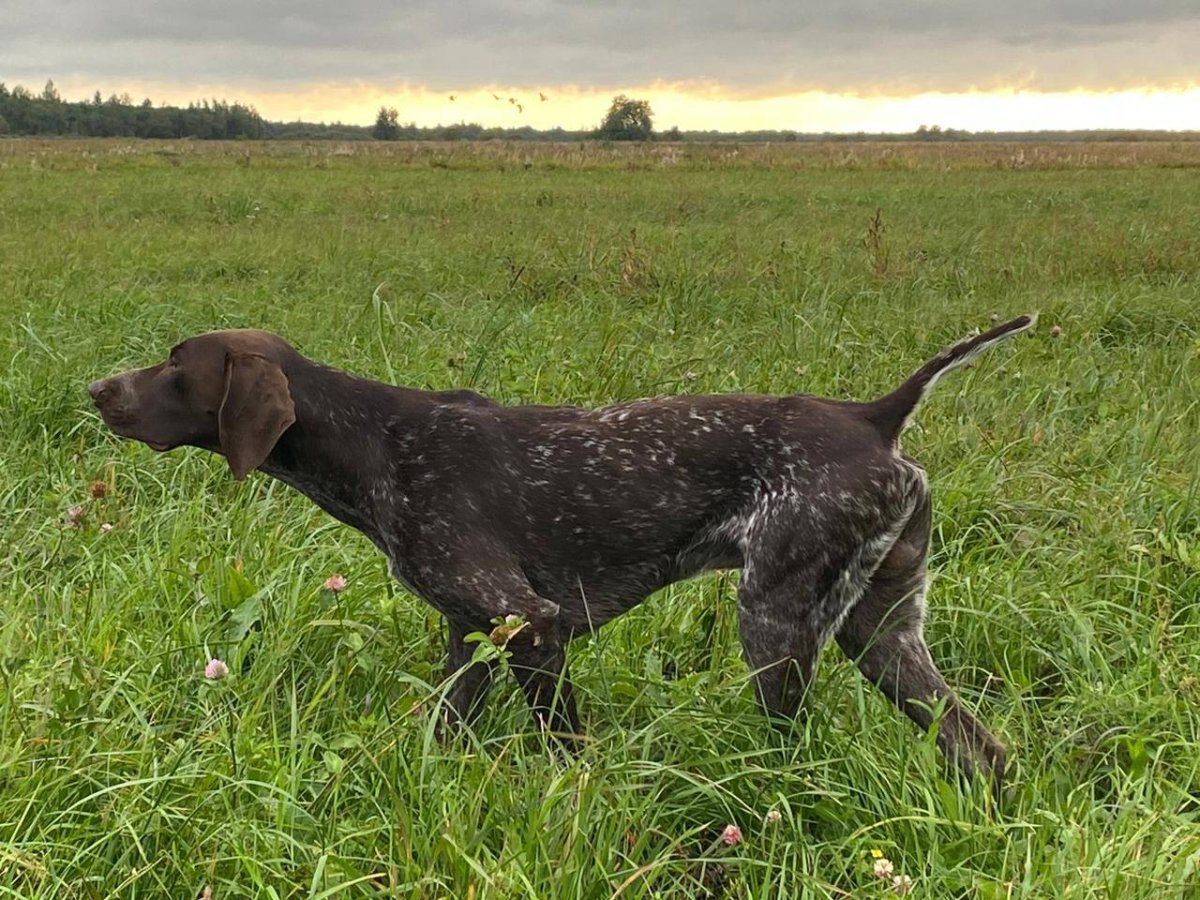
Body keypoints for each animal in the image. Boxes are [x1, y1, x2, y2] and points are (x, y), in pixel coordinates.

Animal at [88, 314, 1036, 796]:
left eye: (176, 365)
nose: (96, 388)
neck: (375, 444)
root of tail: (876, 417)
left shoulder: (531, 625)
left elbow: (564, 751)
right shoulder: (471, 637)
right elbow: (444, 732)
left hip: (777, 625)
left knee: (797, 749)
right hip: (880, 632)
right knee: (979, 746)